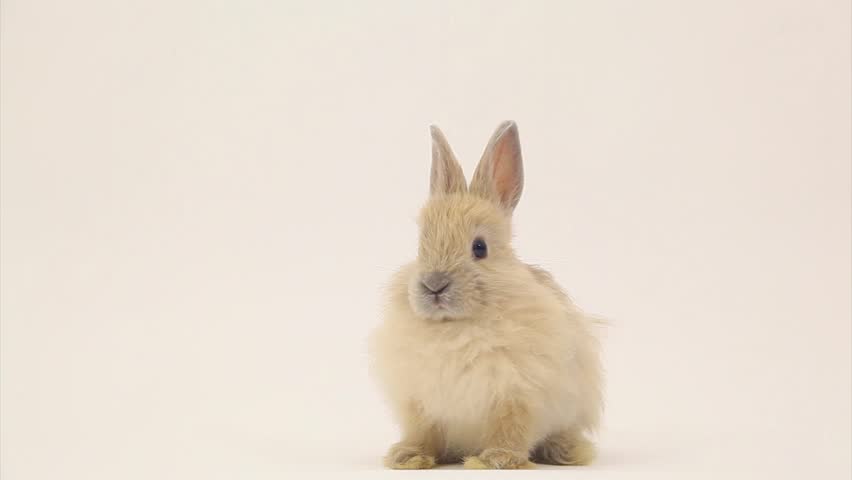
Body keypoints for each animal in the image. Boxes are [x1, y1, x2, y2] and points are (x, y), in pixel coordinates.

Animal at [369, 121, 603, 470]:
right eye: (421, 246)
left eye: (479, 248)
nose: (434, 285)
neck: (456, 326)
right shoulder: (420, 401)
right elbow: (424, 431)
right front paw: (409, 456)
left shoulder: (516, 393)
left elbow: (510, 428)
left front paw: (498, 459)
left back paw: (567, 452)